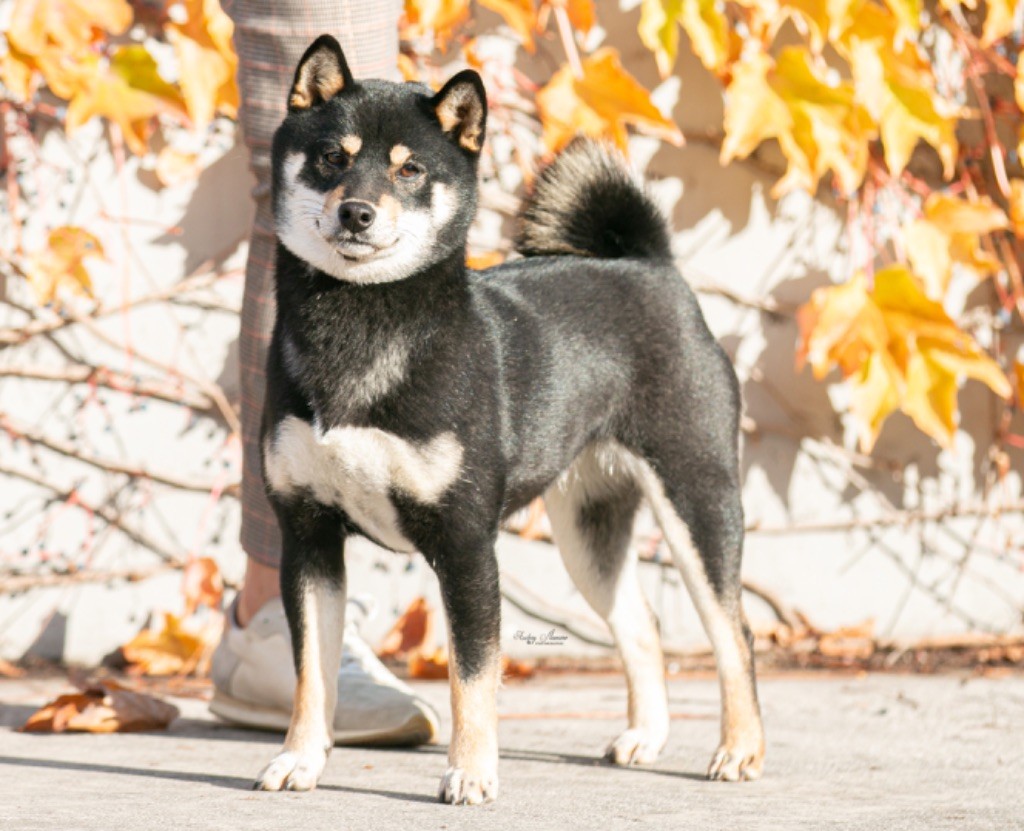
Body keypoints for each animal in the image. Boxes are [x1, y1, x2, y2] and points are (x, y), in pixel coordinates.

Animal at [256, 34, 770, 806]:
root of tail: (649, 265)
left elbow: (472, 677)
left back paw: (739, 747)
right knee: (642, 624)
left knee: (734, 632)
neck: (359, 325)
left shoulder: (466, 543)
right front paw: (301, 758)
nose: (356, 213)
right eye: (331, 157)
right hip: (589, 532)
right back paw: (647, 734)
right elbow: (311, 673)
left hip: (698, 499)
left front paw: (470, 771)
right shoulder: (308, 536)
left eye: (410, 169)